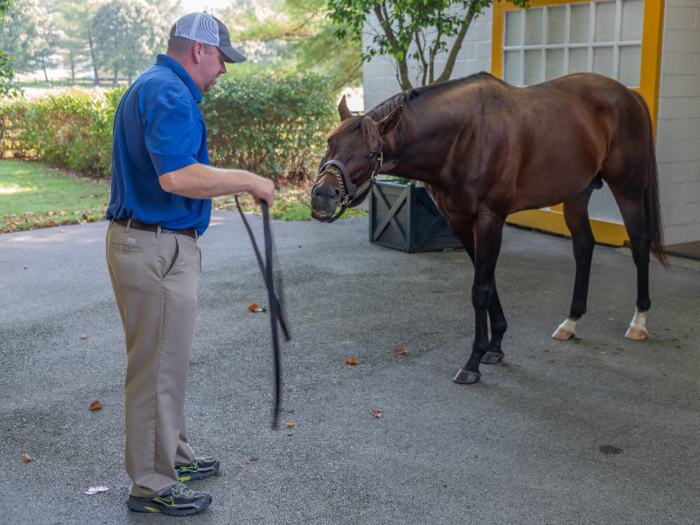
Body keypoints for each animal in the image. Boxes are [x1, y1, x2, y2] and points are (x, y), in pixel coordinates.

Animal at [310, 71, 668, 382]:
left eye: (372, 153)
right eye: (329, 141)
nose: (323, 197)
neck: (464, 136)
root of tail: (629, 95)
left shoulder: (490, 218)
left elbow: (480, 288)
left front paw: (473, 361)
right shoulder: (460, 221)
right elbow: (488, 282)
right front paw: (495, 346)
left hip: (628, 188)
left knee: (639, 244)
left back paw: (639, 322)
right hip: (577, 194)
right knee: (584, 248)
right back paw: (571, 322)